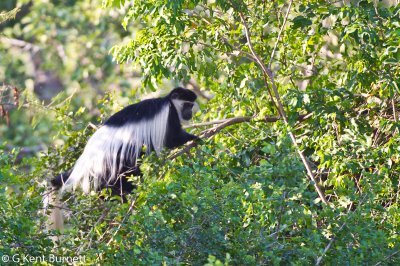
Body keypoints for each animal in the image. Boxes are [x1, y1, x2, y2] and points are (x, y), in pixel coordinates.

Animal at [45, 87, 200, 231]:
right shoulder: (169, 114)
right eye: (187, 105)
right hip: (114, 157)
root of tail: (88, 156)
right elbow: (172, 138)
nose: (190, 113)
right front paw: (195, 138)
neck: (169, 102)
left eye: (191, 105)